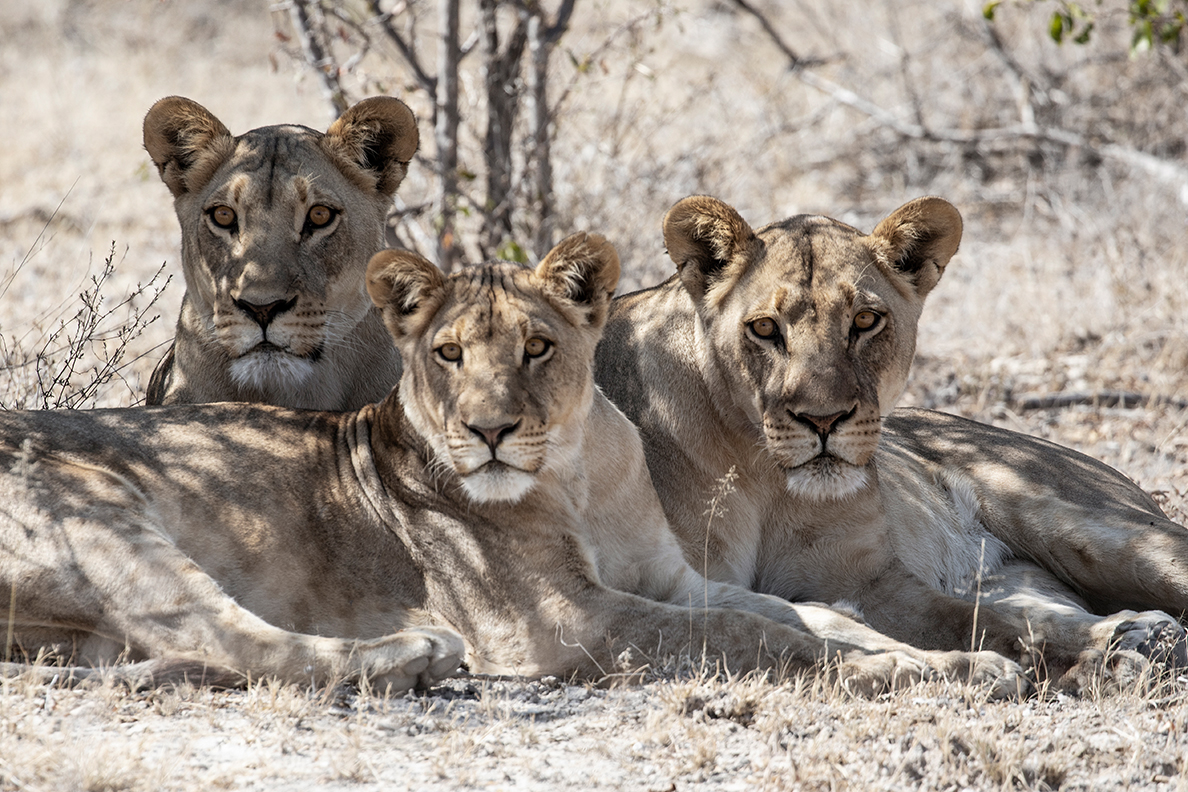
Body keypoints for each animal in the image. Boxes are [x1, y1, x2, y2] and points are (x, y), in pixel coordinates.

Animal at [0, 233, 1026, 696]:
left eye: (537, 347)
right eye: (448, 354)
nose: (490, 431)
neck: (575, 471)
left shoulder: (672, 577)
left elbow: (805, 611)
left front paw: (938, 659)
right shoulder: (559, 621)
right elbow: (759, 637)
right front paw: (933, 668)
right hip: (108, 519)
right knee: (231, 638)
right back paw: (411, 654)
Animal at [594, 195, 1188, 690]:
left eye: (864, 320)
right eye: (763, 328)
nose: (823, 419)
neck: (762, 474)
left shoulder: (867, 578)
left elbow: (975, 622)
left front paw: (1089, 663)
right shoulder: (685, 582)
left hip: (1103, 532)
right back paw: (1138, 635)